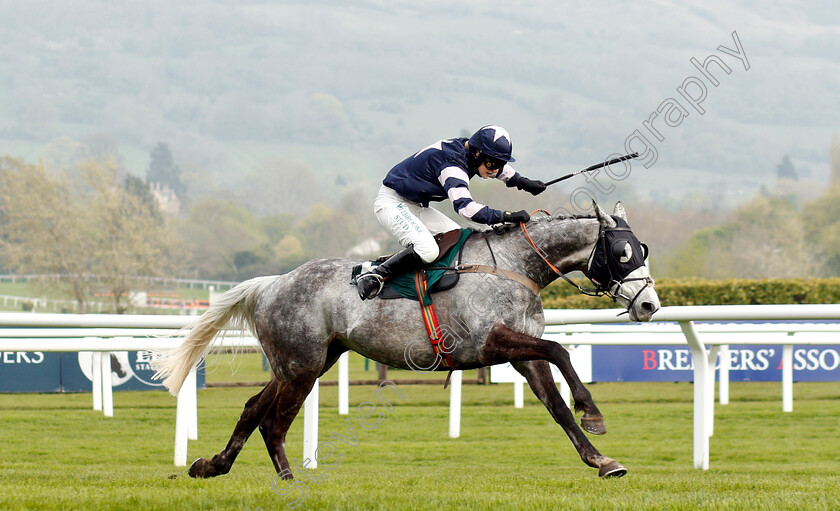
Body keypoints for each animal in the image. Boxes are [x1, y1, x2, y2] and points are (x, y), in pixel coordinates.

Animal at [154, 203, 660, 480]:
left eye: (643, 250)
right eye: (621, 253)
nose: (650, 305)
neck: (514, 266)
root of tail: (272, 283)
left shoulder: (521, 352)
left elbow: (556, 404)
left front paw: (600, 458)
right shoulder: (492, 342)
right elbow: (561, 350)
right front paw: (593, 413)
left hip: (304, 362)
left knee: (252, 409)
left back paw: (212, 465)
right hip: (300, 367)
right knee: (274, 422)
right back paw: (287, 477)